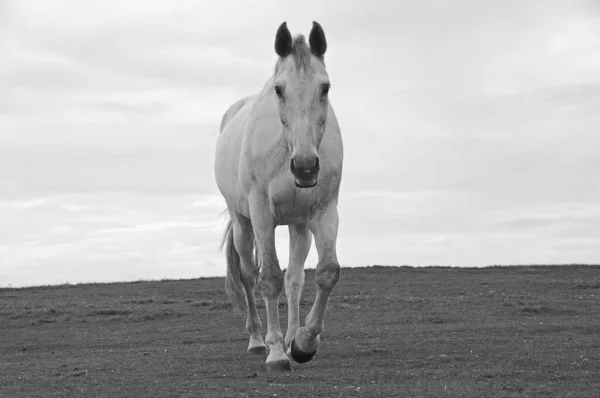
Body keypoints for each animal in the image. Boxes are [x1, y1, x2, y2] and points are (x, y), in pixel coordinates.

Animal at [214, 21, 344, 370]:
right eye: (279, 89)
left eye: (325, 88)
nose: (305, 166)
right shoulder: (262, 214)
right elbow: (269, 277)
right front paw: (275, 353)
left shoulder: (325, 212)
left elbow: (326, 272)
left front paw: (303, 342)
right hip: (243, 223)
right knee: (249, 275)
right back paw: (258, 340)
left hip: (299, 226)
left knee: (295, 279)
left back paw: (290, 338)